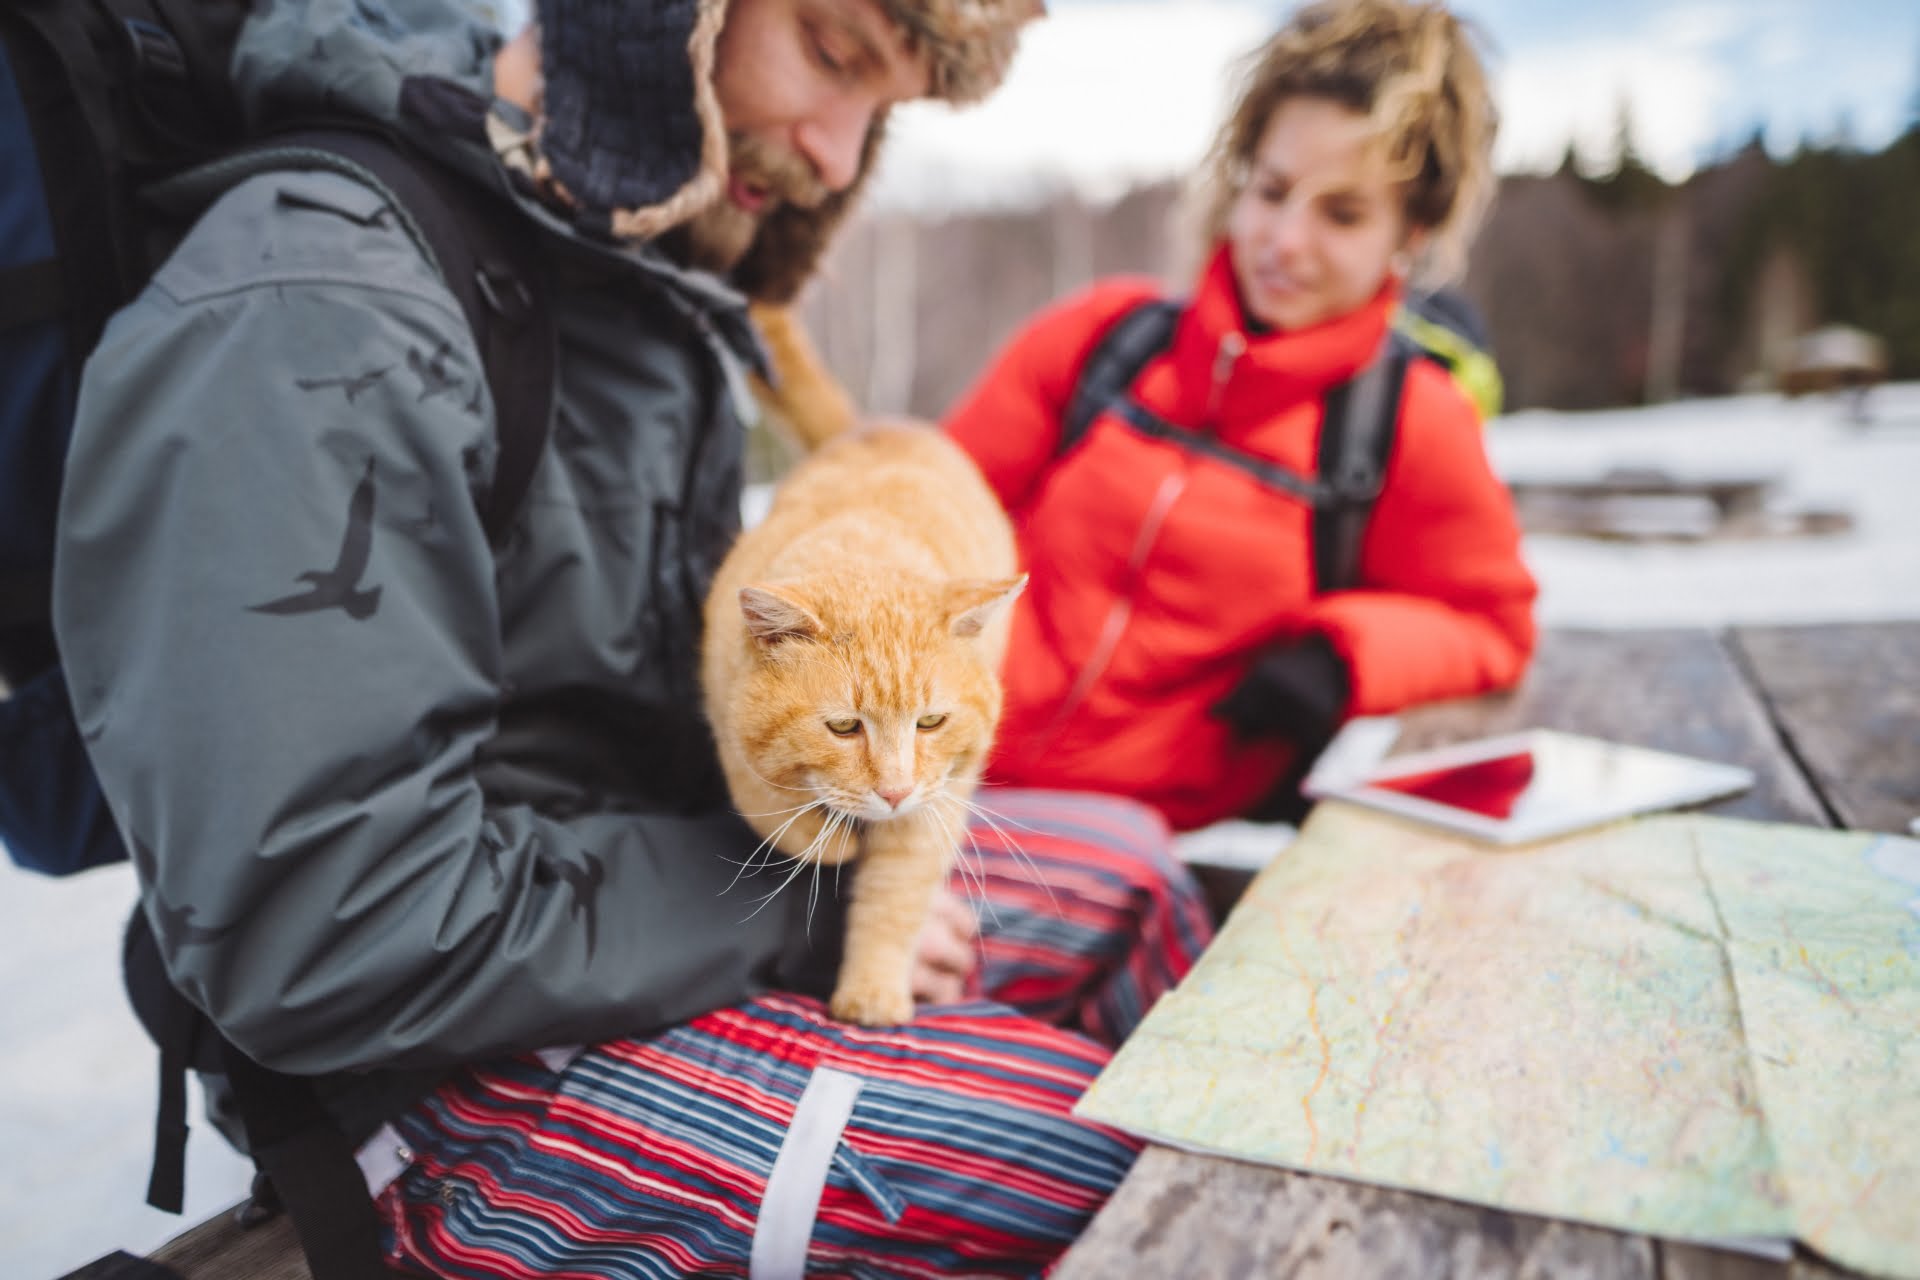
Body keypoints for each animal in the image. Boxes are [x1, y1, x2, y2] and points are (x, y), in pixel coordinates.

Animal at [702, 426, 1029, 1028]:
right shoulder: (724, 714)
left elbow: (894, 901)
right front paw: (830, 843)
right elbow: (766, 802)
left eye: (931, 721)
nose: (894, 793)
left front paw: (872, 993)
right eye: (843, 727)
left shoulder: (935, 802)